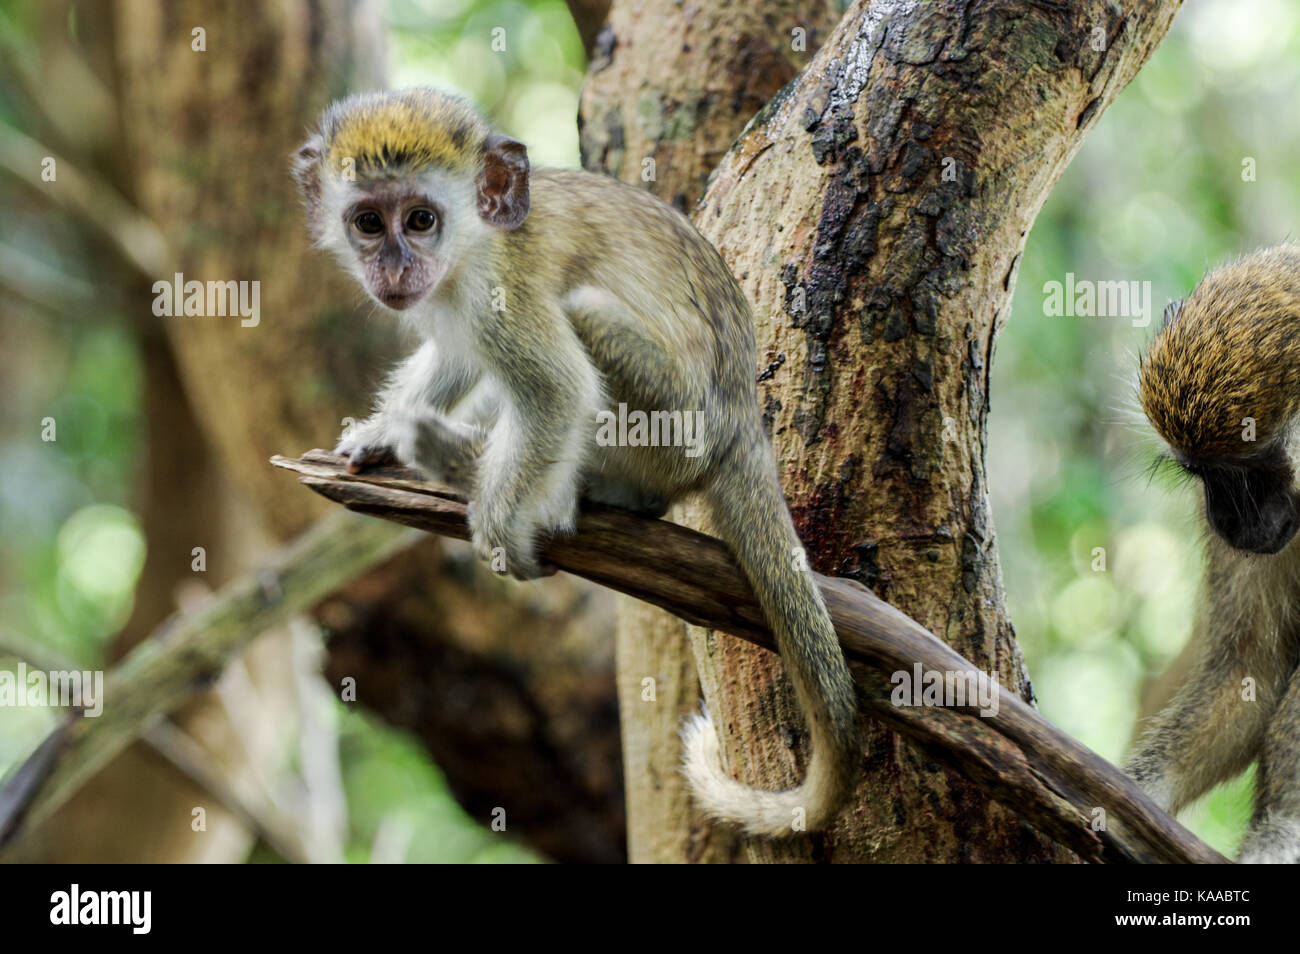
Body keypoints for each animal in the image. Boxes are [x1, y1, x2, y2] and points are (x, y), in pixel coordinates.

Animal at [296, 87, 863, 837]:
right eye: (367, 222)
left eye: (420, 219)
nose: (392, 267)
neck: (475, 242)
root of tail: (743, 423)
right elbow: (457, 355)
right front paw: (385, 432)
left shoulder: (500, 292)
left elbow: (556, 389)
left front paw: (498, 527)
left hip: (673, 430)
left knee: (584, 318)